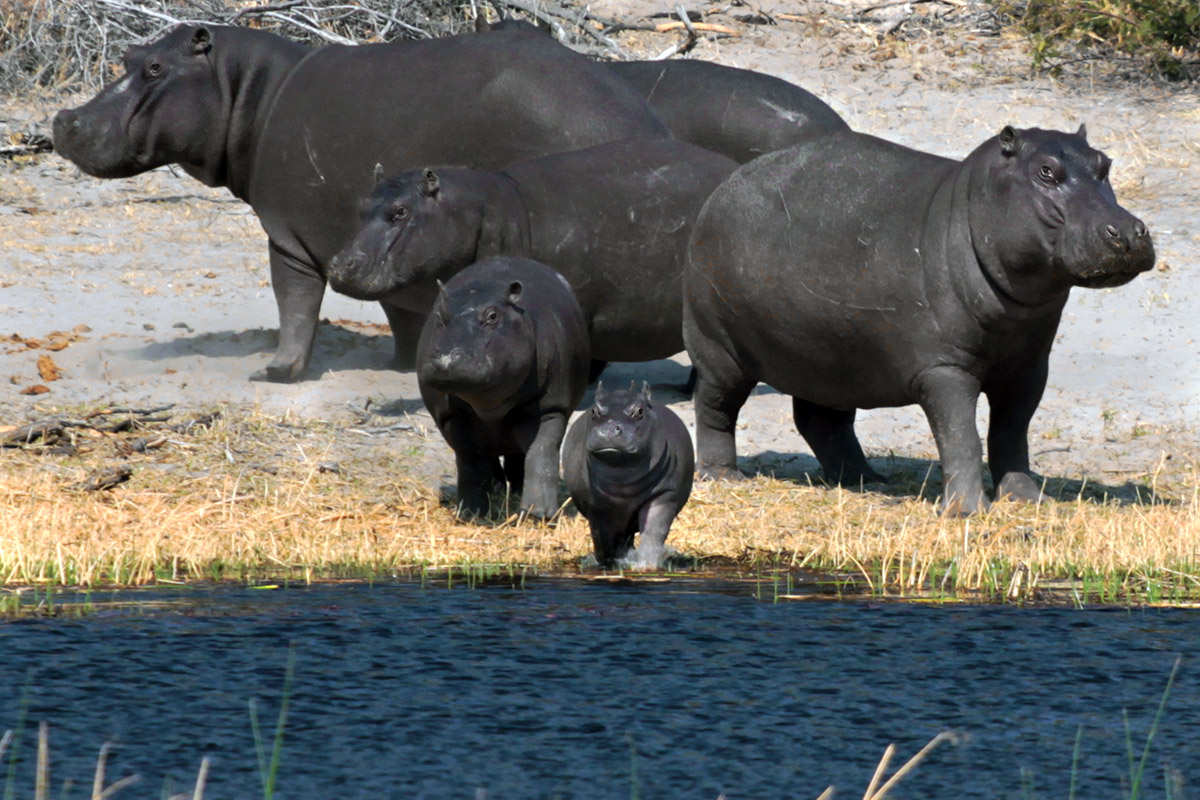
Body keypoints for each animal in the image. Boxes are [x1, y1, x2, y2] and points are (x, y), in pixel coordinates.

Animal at [54, 20, 667, 381]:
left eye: (156, 68)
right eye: (130, 55)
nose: (64, 119)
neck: (247, 92)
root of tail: (639, 114)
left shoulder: (289, 236)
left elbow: (294, 302)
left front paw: (277, 372)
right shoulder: (381, 251)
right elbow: (398, 309)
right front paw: (401, 366)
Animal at [417, 256, 590, 520]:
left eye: (492, 315)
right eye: (439, 314)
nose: (447, 358)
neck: (490, 407)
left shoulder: (550, 408)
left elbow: (541, 454)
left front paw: (538, 515)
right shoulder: (454, 417)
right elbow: (470, 462)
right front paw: (472, 513)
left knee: (519, 456)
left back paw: (517, 490)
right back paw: (497, 487)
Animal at [561, 381, 696, 568]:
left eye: (640, 411)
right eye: (594, 410)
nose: (608, 429)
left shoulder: (664, 495)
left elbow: (654, 530)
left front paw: (646, 563)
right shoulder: (595, 505)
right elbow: (600, 537)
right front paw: (605, 562)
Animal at [686, 125, 1152, 513]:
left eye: (1105, 164)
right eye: (1046, 171)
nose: (1129, 232)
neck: (971, 208)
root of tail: (723, 189)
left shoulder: (1028, 368)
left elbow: (1011, 432)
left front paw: (1028, 500)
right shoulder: (944, 370)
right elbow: (961, 436)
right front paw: (968, 511)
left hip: (827, 356)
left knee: (823, 421)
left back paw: (866, 480)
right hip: (720, 351)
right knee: (715, 408)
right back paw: (724, 477)